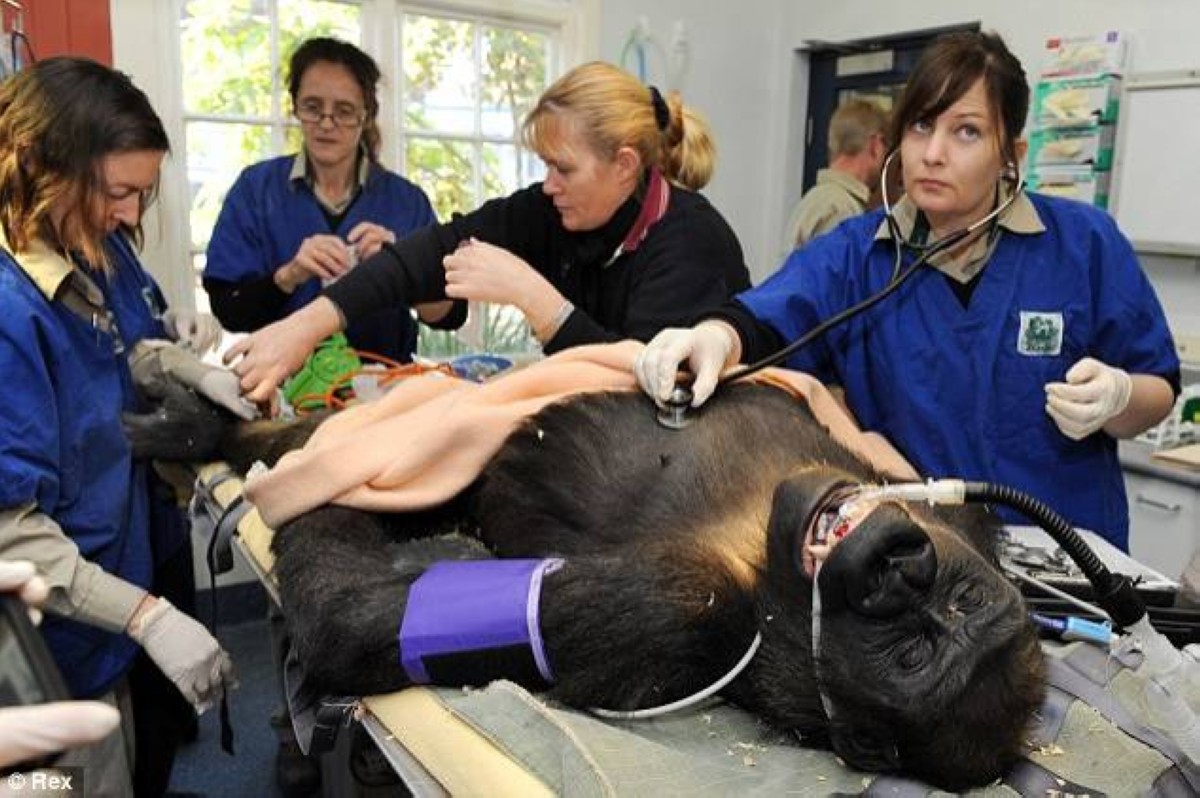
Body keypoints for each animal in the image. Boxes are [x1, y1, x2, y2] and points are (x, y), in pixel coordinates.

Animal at [133, 369, 1051, 792]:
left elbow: (352, 620)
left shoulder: (687, 613)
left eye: (912, 657)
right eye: (956, 601)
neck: (763, 557)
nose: (893, 567)